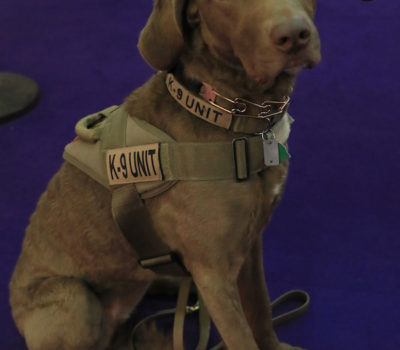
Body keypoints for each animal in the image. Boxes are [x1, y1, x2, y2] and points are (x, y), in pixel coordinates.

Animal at [9, 0, 320, 350]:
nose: (294, 35)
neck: (227, 115)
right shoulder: (214, 272)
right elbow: (242, 336)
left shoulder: (251, 245)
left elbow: (261, 309)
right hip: (74, 301)